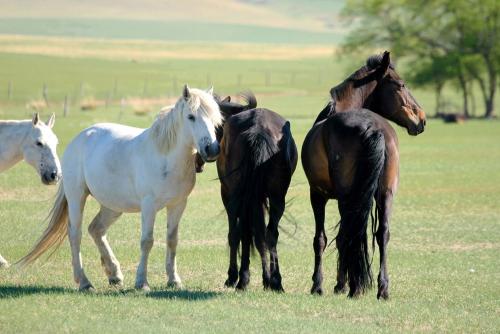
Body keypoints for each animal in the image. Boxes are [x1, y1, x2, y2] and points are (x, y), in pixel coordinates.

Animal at [19, 85, 223, 290]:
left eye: (215, 118)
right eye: (191, 116)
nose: (212, 150)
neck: (165, 156)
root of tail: (80, 137)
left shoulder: (178, 205)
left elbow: (172, 240)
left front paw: (174, 280)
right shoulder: (149, 206)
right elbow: (147, 241)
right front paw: (142, 282)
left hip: (113, 206)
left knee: (96, 229)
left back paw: (114, 274)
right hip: (77, 197)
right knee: (75, 234)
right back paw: (84, 281)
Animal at [216, 92, 296, 290]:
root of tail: (258, 127)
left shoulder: (228, 196)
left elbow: (234, 234)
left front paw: (232, 276)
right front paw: (267, 277)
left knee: (244, 232)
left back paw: (243, 279)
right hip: (276, 197)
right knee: (270, 234)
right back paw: (275, 281)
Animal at [300, 52, 426, 300]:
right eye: (401, 85)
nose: (422, 119)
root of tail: (372, 126)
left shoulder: (317, 194)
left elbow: (322, 239)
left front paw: (321, 285)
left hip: (347, 196)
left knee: (350, 233)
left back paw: (353, 286)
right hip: (385, 194)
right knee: (382, 233)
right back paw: (382, 288)